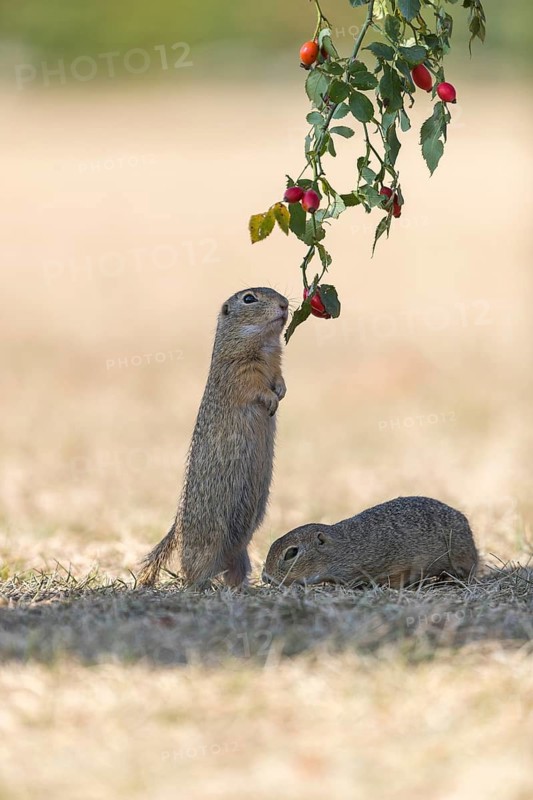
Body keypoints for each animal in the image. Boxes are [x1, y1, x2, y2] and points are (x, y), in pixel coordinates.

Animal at [138, 287, 289, 589]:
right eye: (249, 298)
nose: (285, 304)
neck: (264, 344)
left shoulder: (275, 364)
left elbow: (279, 378)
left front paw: (281, 392)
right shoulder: (240, 372)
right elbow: (255, 388)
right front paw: (270, 400)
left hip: (240, 553)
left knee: (233, 571)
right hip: (207, 545)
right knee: (193, 572)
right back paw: (204, 585)